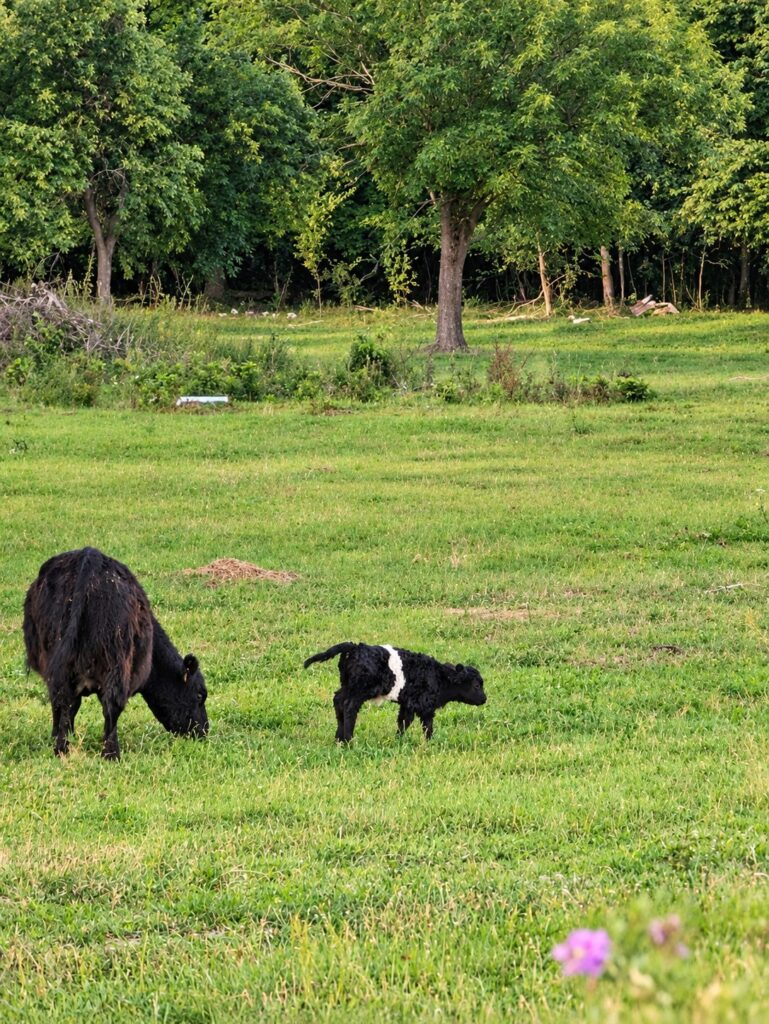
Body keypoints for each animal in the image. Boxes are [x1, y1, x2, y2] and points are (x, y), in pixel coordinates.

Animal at [23, 547, 209, 760]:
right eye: (199, 696)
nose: (204, 731)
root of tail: (90, 557)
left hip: (56, 659)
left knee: (61, 701)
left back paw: (61, 749)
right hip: (117, 661)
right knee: (110, 706)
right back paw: (111, 755)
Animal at [303, 641, 486, 743]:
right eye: (477, 686)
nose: (484, 699)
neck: (438, 675)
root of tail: (355, 647)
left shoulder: (406, 703)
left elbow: (402, 722)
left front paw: (398, 740)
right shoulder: (423, 705)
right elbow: (425, 725)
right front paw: (429, 742)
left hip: (347, 686)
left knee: (338, 702)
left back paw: (339, 739)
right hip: (359, 691)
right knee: (349, 707)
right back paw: (349, 741)